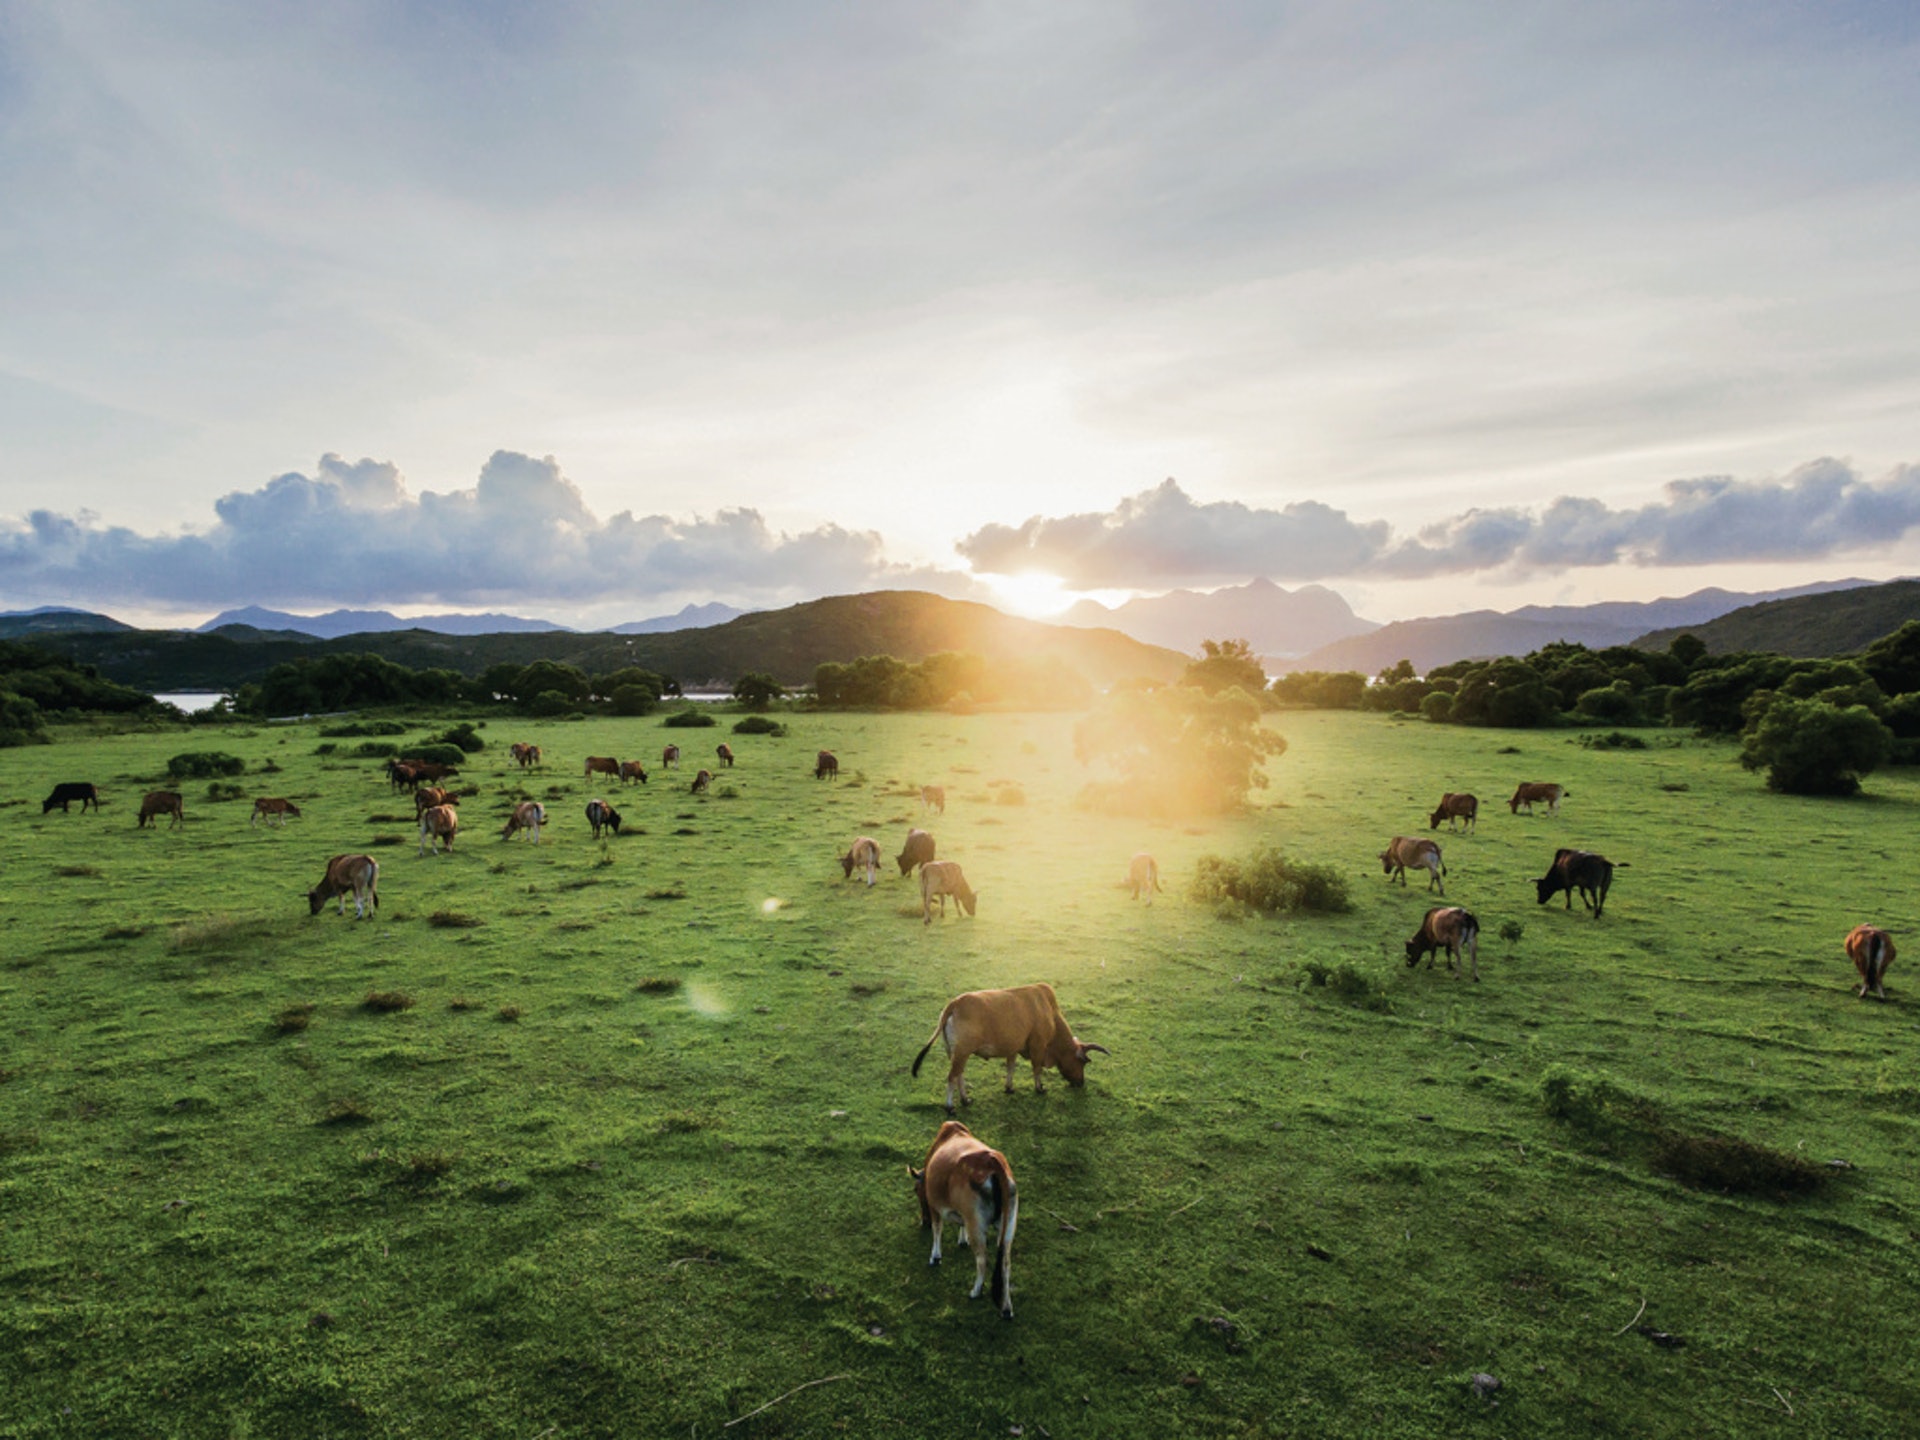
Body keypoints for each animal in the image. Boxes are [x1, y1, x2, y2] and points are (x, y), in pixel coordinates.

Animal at [910, 1121, 1021, 1328]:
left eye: (916, 1190)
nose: (924, 1222)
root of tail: (993, 1162)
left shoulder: (935, 1205)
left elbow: (938, 1230)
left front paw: (935, 1257)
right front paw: (962, 1240)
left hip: (975, 1221)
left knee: (982, 1259)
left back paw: (976, 1292)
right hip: (1009, 1219)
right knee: (1005, 1263)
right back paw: (1006, 1309)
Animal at [913, 983, 1113, 1113]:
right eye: (1083, 1061)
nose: (1081, 1083)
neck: (1049, 1010)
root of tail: (955, 1003)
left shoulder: (1013, 1049)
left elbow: (1010, 1067)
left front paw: (1009, 1087)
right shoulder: (1038, 1046)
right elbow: (1037, 1068)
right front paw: (1039, 1088)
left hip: (955, 1053)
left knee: (959, 1075)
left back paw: (965, 1099)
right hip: (962, 1052)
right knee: (952, 1077)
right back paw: (950, 1106)